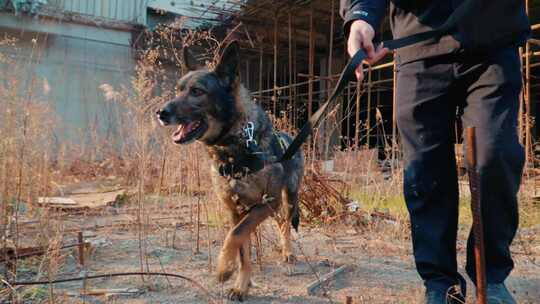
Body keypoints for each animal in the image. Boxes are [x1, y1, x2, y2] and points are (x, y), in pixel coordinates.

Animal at [158, 41, 306, 300]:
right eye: (178, 90)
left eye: (197, 91)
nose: (161, 113)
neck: (232, 148)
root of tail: (288, 136)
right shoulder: (236, 211)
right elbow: (241, 246)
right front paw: (240, 284)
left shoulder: (267, 202)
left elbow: (235, 235)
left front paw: (224, 268)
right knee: (280, 223)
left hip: (288, 199)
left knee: (287, 222)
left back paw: (287, 251)